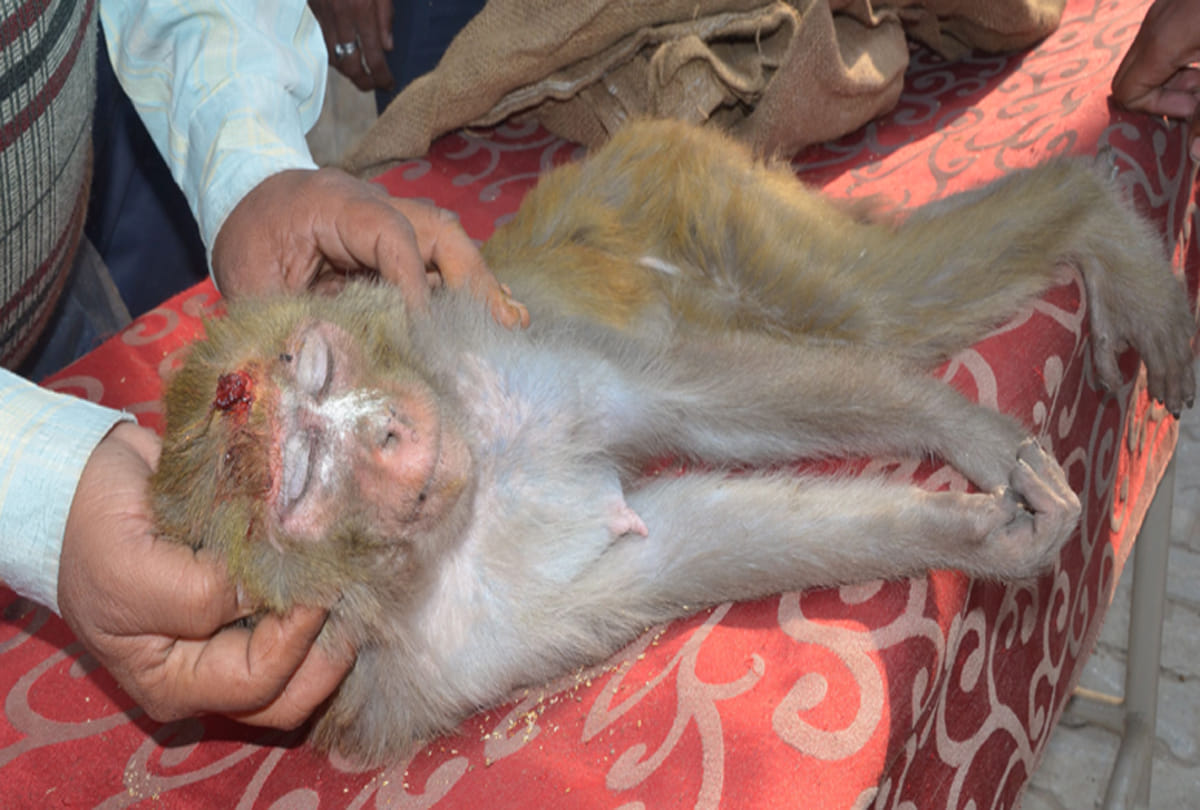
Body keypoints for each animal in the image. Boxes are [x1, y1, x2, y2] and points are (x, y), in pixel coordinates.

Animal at [150, 119, 1195, 766]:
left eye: (320, 372)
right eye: (304, 476)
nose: (391, 430)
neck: (473, 498)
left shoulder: (501, 356)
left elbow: (688, 398)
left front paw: (970, 434)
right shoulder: (458, 650)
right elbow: (682, 544)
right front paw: (971, 536)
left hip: (688, 190)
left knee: (864, 306)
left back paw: (1098, 216)